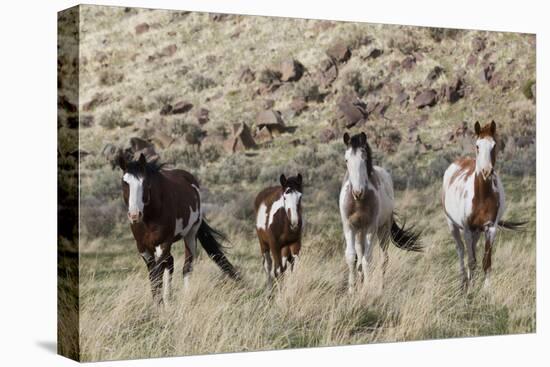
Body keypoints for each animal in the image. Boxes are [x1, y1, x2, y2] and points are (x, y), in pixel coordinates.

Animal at [117, 153, 238, 304]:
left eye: (145, 183)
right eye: (125, 183)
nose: (134, 215)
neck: (149, 218)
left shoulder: (163, 244)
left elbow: (157, 274)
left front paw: (160, 305)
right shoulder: (143, 248)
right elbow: (154, 276)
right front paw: (160, 304)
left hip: (191, 234)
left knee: (187, 266)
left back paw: (185, 297)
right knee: (170, 263)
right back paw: (169, 299)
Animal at [338, 132, 424, 294]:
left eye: (364, 158)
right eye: (346, 160)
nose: (357, 192)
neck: (359, 202)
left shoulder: (371, 228)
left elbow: (367, 259)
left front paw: (366, 290)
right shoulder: (349, 227)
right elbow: (352, 257)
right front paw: (352, 290)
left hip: (383, 229)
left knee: (383, 259)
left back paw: (380, 289)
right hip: (359, 232)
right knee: (360, 255)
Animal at [444, 121, 528, 294]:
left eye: (494, 145)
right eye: (477, 146)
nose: (486, 171)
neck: (481, 196)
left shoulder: (490, 228)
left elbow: (486, 261)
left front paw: (486, 289)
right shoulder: (467, 230)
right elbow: (470, 260)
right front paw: (469, 289)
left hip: (477, 232)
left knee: (473, 253)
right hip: (453, 226)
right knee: (460, 251)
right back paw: (463, 282)